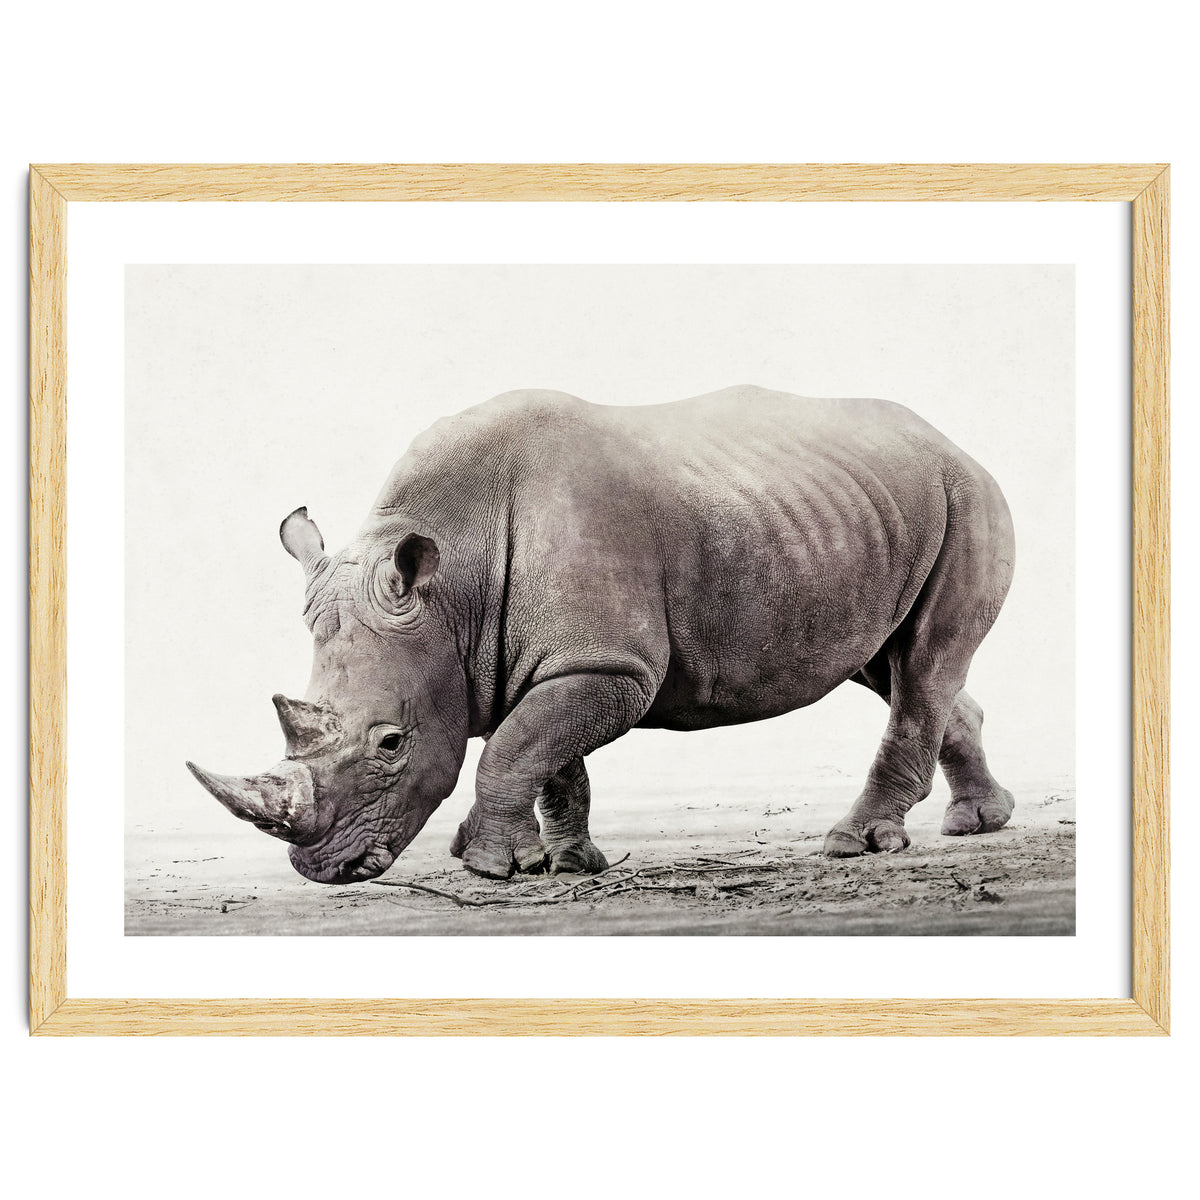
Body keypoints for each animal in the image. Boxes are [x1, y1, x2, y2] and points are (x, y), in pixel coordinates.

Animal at [187, 385, 1016, 883]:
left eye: (391, 743)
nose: (323, 869)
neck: (453, 586)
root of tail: (951, 440)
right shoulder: (557, 659)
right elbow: (550, 755)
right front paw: (568, 863)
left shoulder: (609, 664)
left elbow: (517, 747)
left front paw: (488, 868)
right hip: (861, 513)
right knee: (894, 666)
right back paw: (978, 823)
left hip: (967, 496)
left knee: (924, 663)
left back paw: (857, 844)